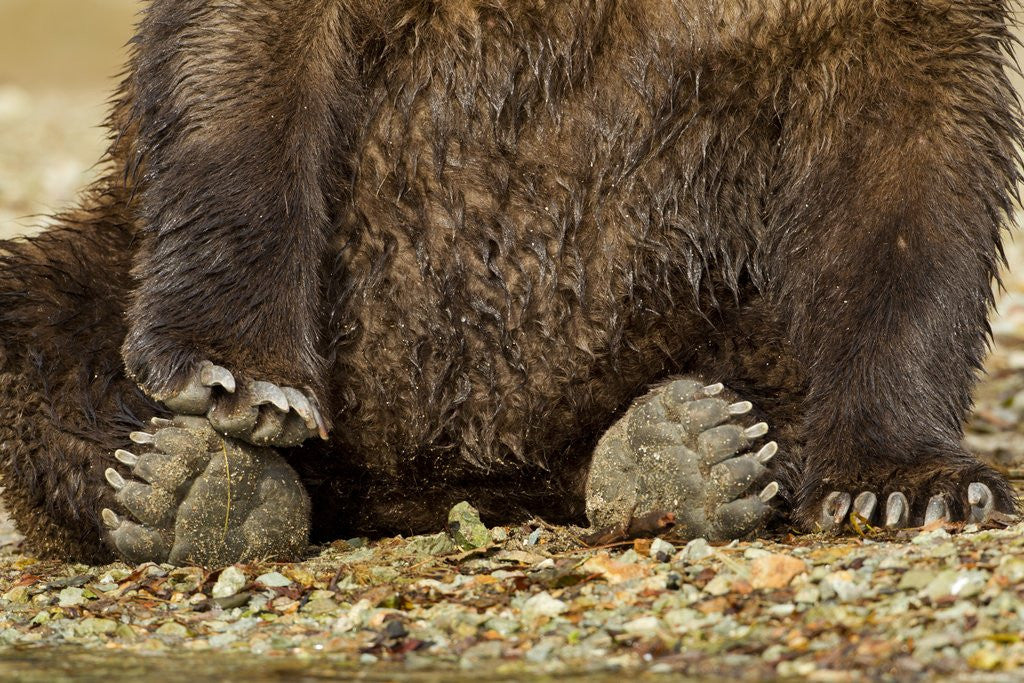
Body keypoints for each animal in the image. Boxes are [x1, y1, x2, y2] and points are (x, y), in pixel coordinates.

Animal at [0, 0, 1019, 566]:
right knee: (40, 316)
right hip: (114, 253)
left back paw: (688, 448)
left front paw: (908, 484)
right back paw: (185, 486)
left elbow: (910, 171)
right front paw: (241, 371)